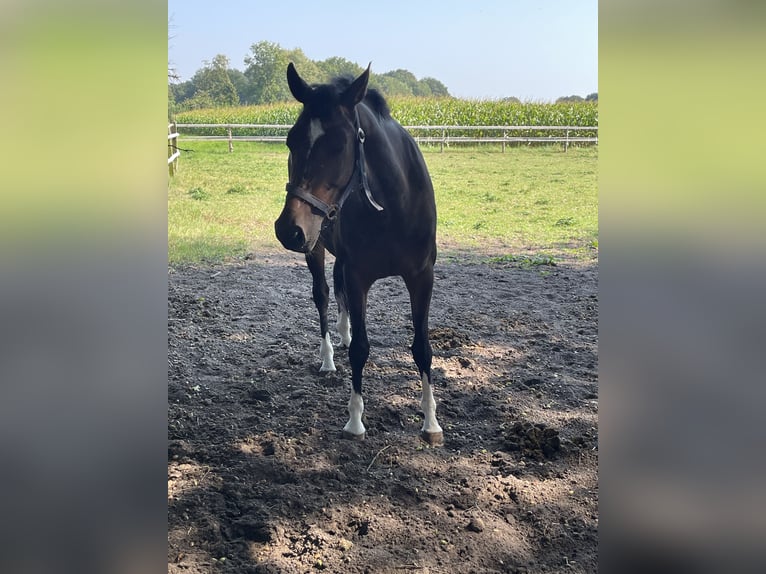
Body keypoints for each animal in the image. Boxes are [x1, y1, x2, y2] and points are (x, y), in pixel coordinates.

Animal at [276, 64, 444, 450]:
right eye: (291, 141)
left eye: (339, 145)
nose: (288, 230)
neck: (393, 206)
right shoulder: (359, 277)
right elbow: (361, 350)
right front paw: (355, 420)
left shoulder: (421, 277)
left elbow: (422, 348)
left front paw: (430, 422)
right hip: (316, 248)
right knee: (323, 296)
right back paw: (327, 358)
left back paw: (344, 333)